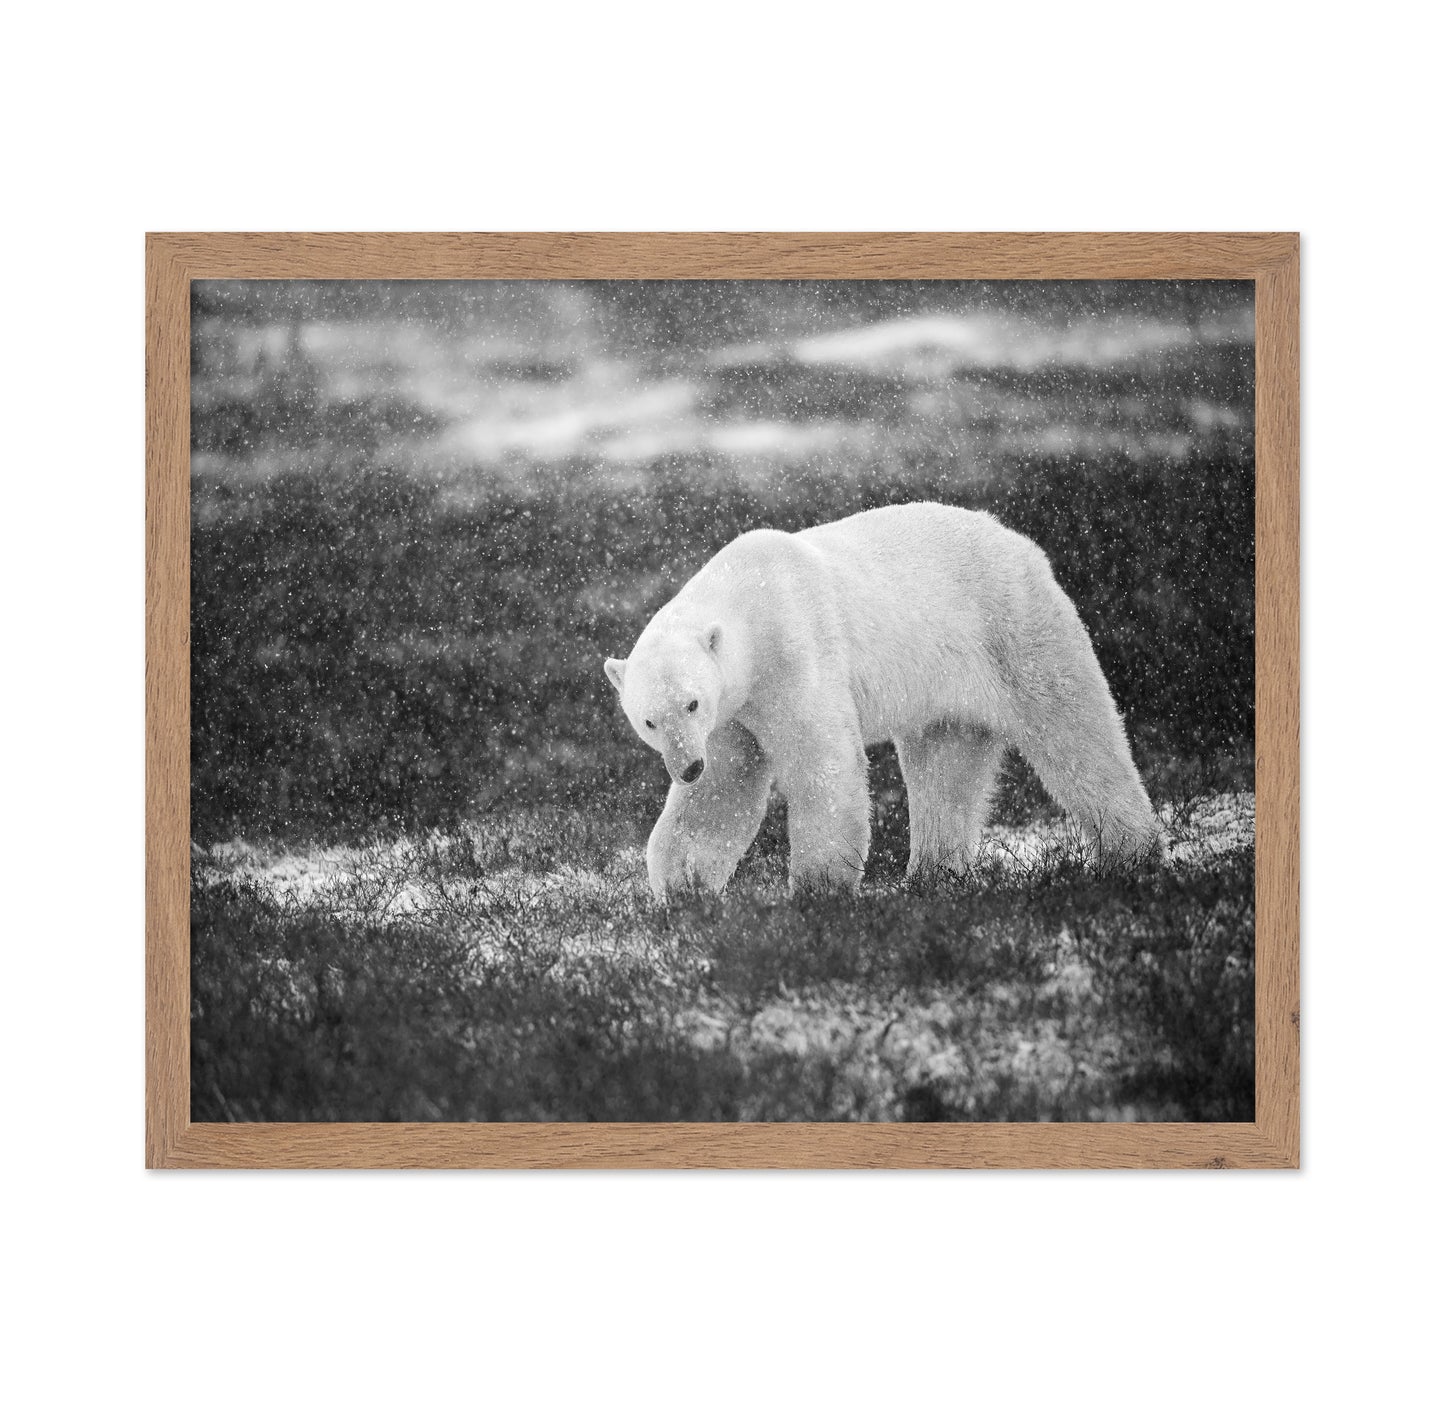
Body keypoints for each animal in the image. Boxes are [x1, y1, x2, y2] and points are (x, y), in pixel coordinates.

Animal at [603, 501, 1160, 899]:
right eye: (649, 721)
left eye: (691, 704)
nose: (686, 767)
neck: (748, 600)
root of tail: (1020, 542)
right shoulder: (732, 716)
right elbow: (722, 791)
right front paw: (682, 888)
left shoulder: (794, 653)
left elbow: (822, 762)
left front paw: (819, 889)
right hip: (944, 686)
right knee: (946, 769)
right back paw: (932, 876)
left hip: (1014, 629)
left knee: (1074, 731)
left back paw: (1130, 852)